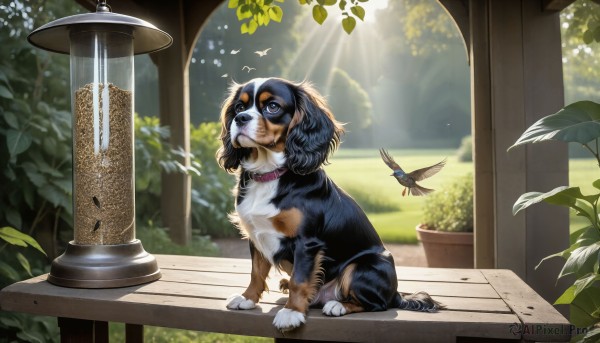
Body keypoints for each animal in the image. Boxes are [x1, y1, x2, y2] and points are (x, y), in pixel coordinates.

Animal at [216, 78, 440, 334]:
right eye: (239, 107)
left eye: (272, 106)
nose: (241, 119)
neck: (270, 173)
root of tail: (396, 294)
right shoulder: (256, 235)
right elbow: (256, 271)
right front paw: (247, 298)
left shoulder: (307, 242)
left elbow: (300, 279)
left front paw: (292, 312)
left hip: (365, 265)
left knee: (377, 304)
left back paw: (338, 305)